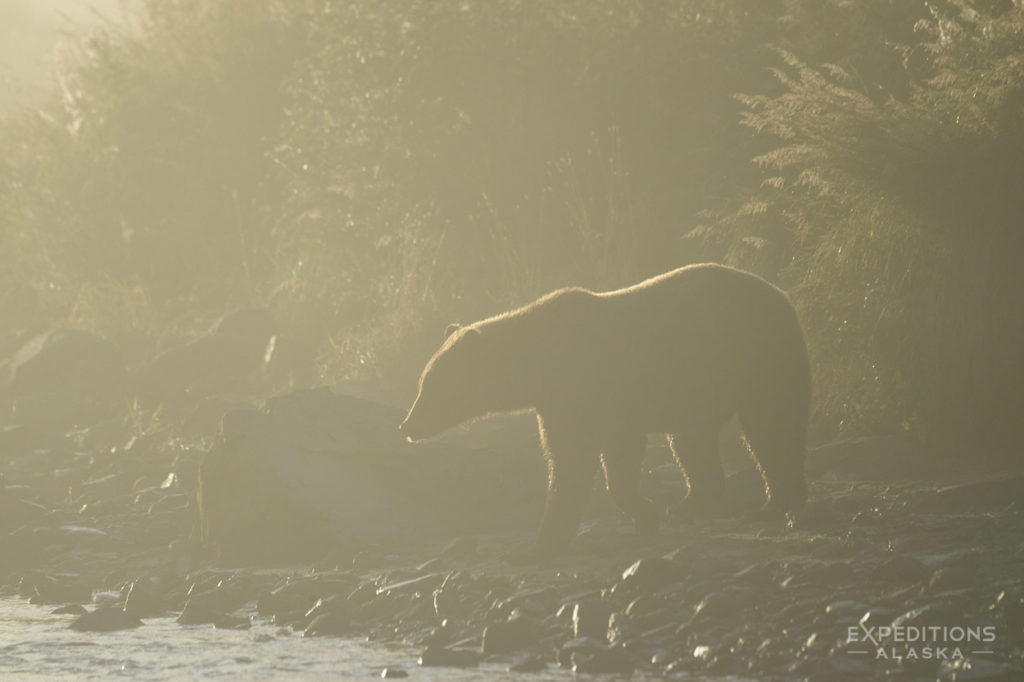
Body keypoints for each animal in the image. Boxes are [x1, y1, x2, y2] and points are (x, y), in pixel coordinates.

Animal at [399, 262, 806, 557]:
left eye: (430, 387)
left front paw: (540, 545)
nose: (407, 424)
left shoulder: (590, 392)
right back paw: (689, 504)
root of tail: (782, 294)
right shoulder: (564, 405)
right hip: (701, 391)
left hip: (755, 357)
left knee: (770, 428)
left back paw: (771, 504)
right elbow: (590, 457)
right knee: (691, 443)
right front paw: (646, 514)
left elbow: (575, 464)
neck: (537, 367)